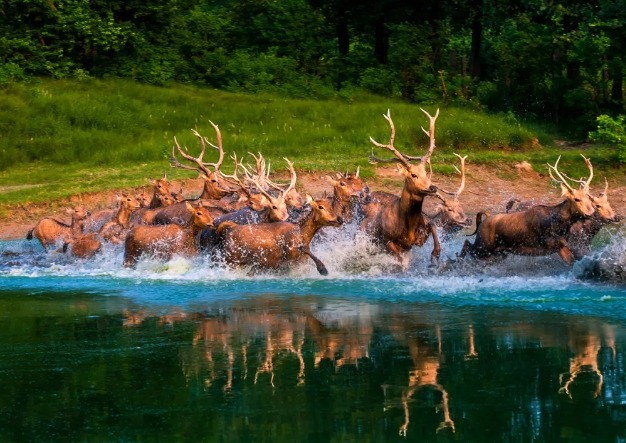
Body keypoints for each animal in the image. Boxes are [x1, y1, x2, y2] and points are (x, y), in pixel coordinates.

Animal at [214, 196, 342, 276]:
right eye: (321, 206)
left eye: (331, 205)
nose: (340, 219)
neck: (303, 235)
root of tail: (229, 229)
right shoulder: (290, 263)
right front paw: (323, 269)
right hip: (231, 261)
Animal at [358, 109, 442, 266]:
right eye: (413, 175)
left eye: (426, 173)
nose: (433, 187)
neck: (408, 228)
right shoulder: (387, 240)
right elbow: (400, 261)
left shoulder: (418, 237)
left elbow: (433, 224)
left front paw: (436, 253)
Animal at [458, 156, 596, 266]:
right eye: (576, 199)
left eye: (588, 197)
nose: (591, 212)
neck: (560, 225)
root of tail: (485, 218)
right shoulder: (547, 242)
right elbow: (572, 247)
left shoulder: (559, 248)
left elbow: (572, 259)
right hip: (483, 245)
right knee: (467, 243)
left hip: (497, 252)